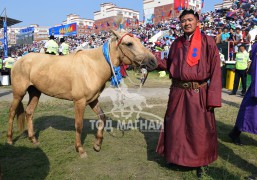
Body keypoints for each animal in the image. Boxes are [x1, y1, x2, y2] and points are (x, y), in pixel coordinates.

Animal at [7, 29, 157, 158]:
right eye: (129, 43)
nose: (153, 61)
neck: (93, 66)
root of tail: (18, 61)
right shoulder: (79, 101)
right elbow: (78, 125)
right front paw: (80, 149)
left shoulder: (93, 100)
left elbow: (102, 118)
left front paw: (97, 144)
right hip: (19, 93)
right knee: (12, 112)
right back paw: (9, 140)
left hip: (35, 92)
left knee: (29, 112)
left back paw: (33, 139)